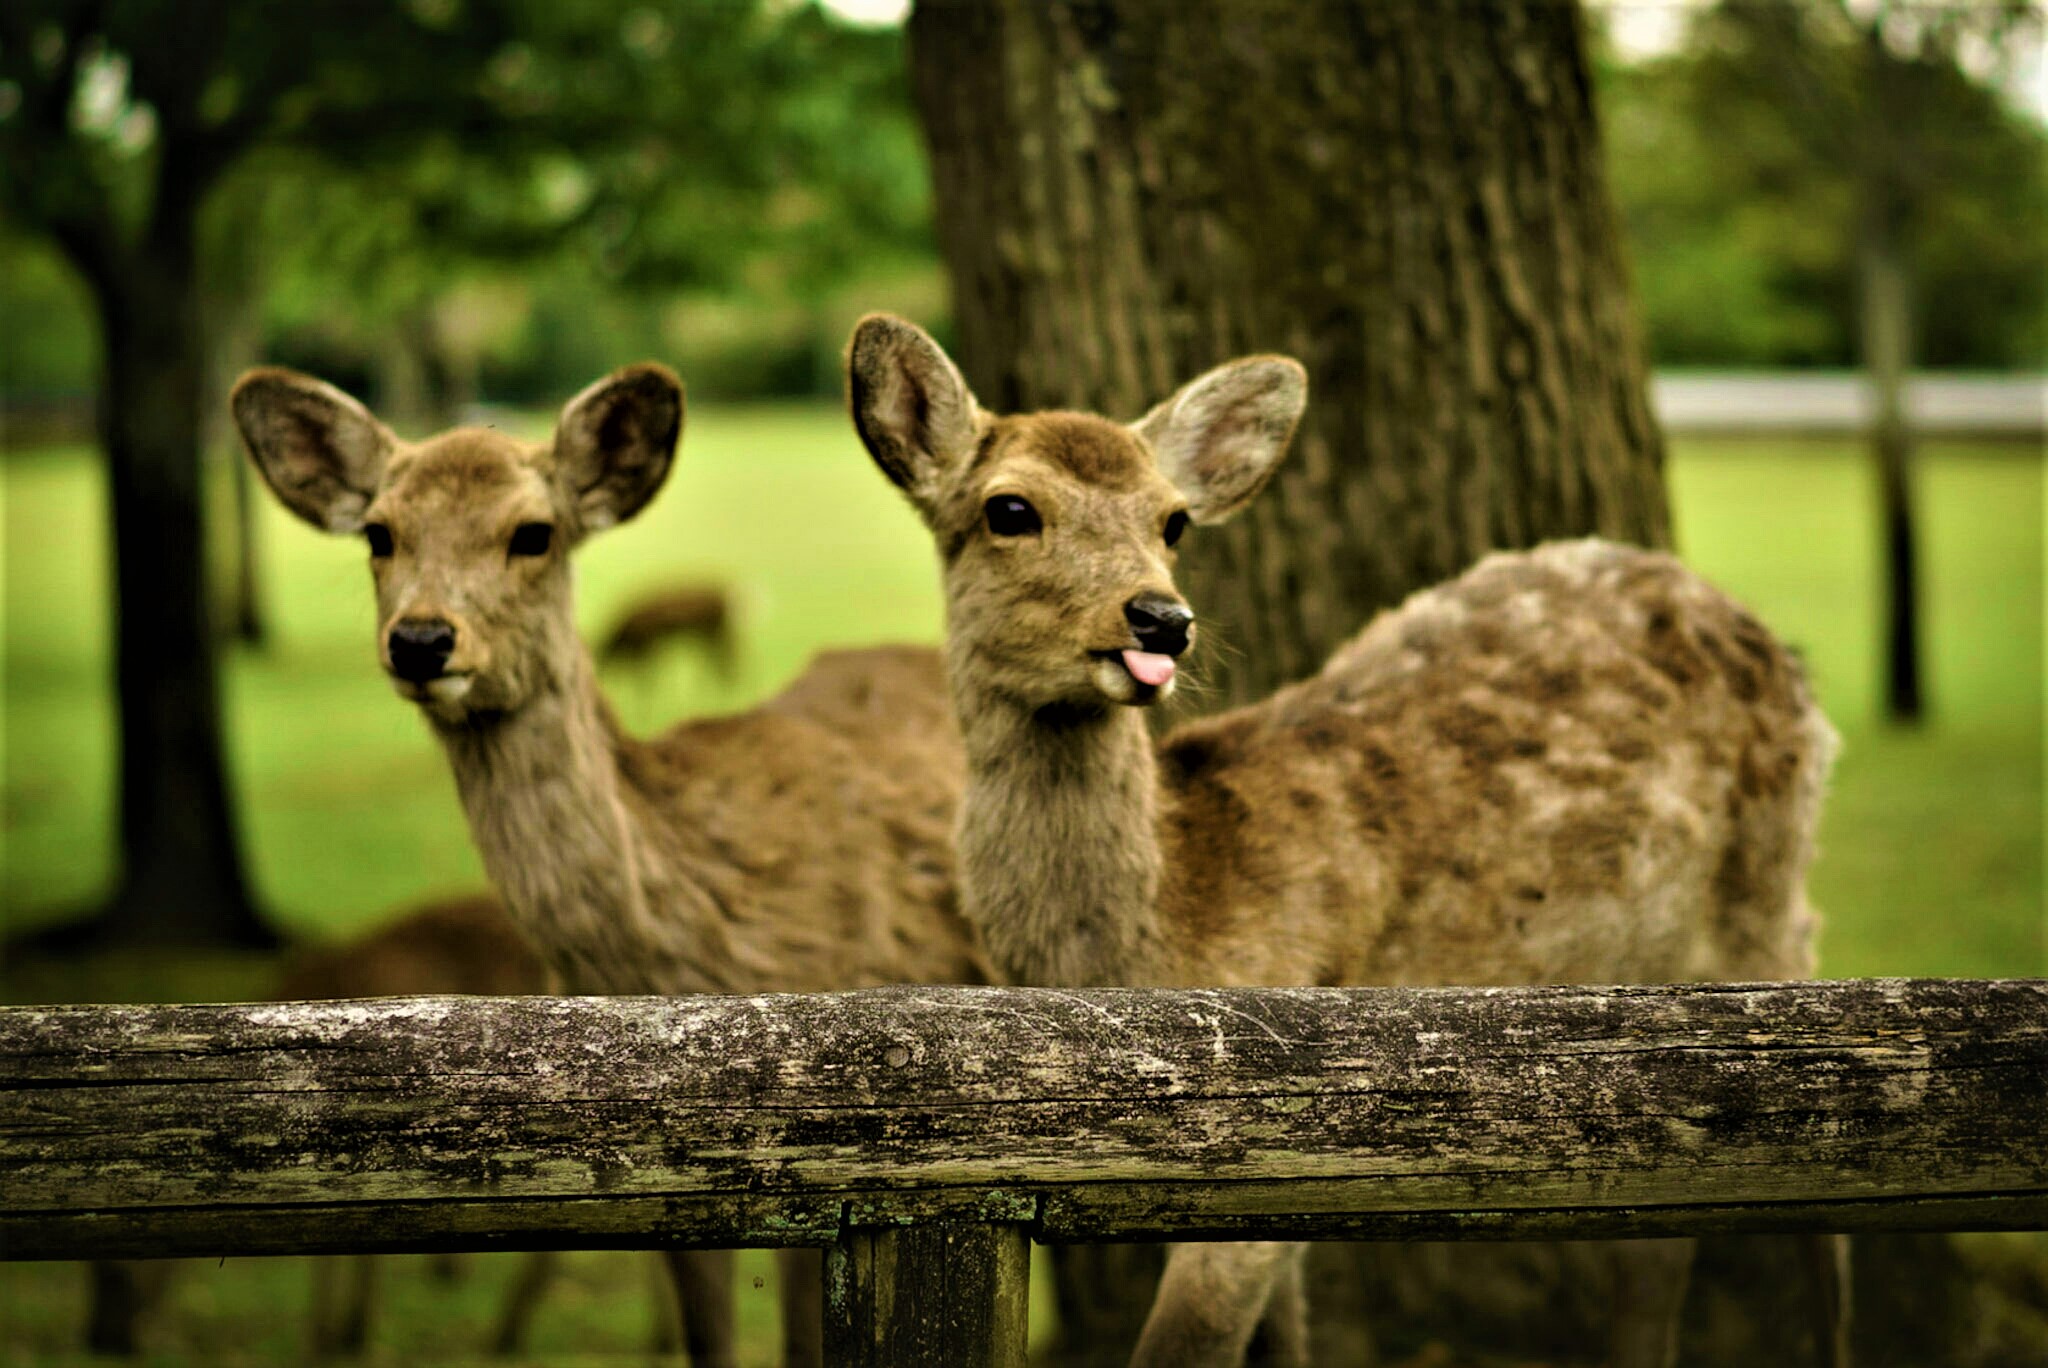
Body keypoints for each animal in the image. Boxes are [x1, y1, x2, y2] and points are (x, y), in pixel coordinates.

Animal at [839, 313, 1851, 1368]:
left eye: (1173, 522)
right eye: (1009, 509)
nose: (1161, 618)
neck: (1172, 932)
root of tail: (1773, 642)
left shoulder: (1267, 1109)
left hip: (1770, 901)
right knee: (1660, 1242)